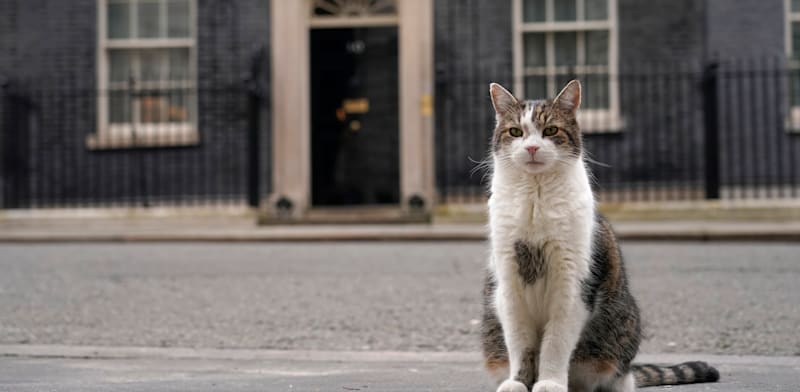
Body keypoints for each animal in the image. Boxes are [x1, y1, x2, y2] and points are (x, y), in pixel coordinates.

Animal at [482, 80, 720, 392]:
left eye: (551, 131)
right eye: (515, 132)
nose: (532, 147)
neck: (536, 197)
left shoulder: (572, 283)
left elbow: (556, 343)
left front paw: (549, 382)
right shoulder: (509, 285)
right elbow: (520, 344)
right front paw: (518, 383)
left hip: (618, 339)